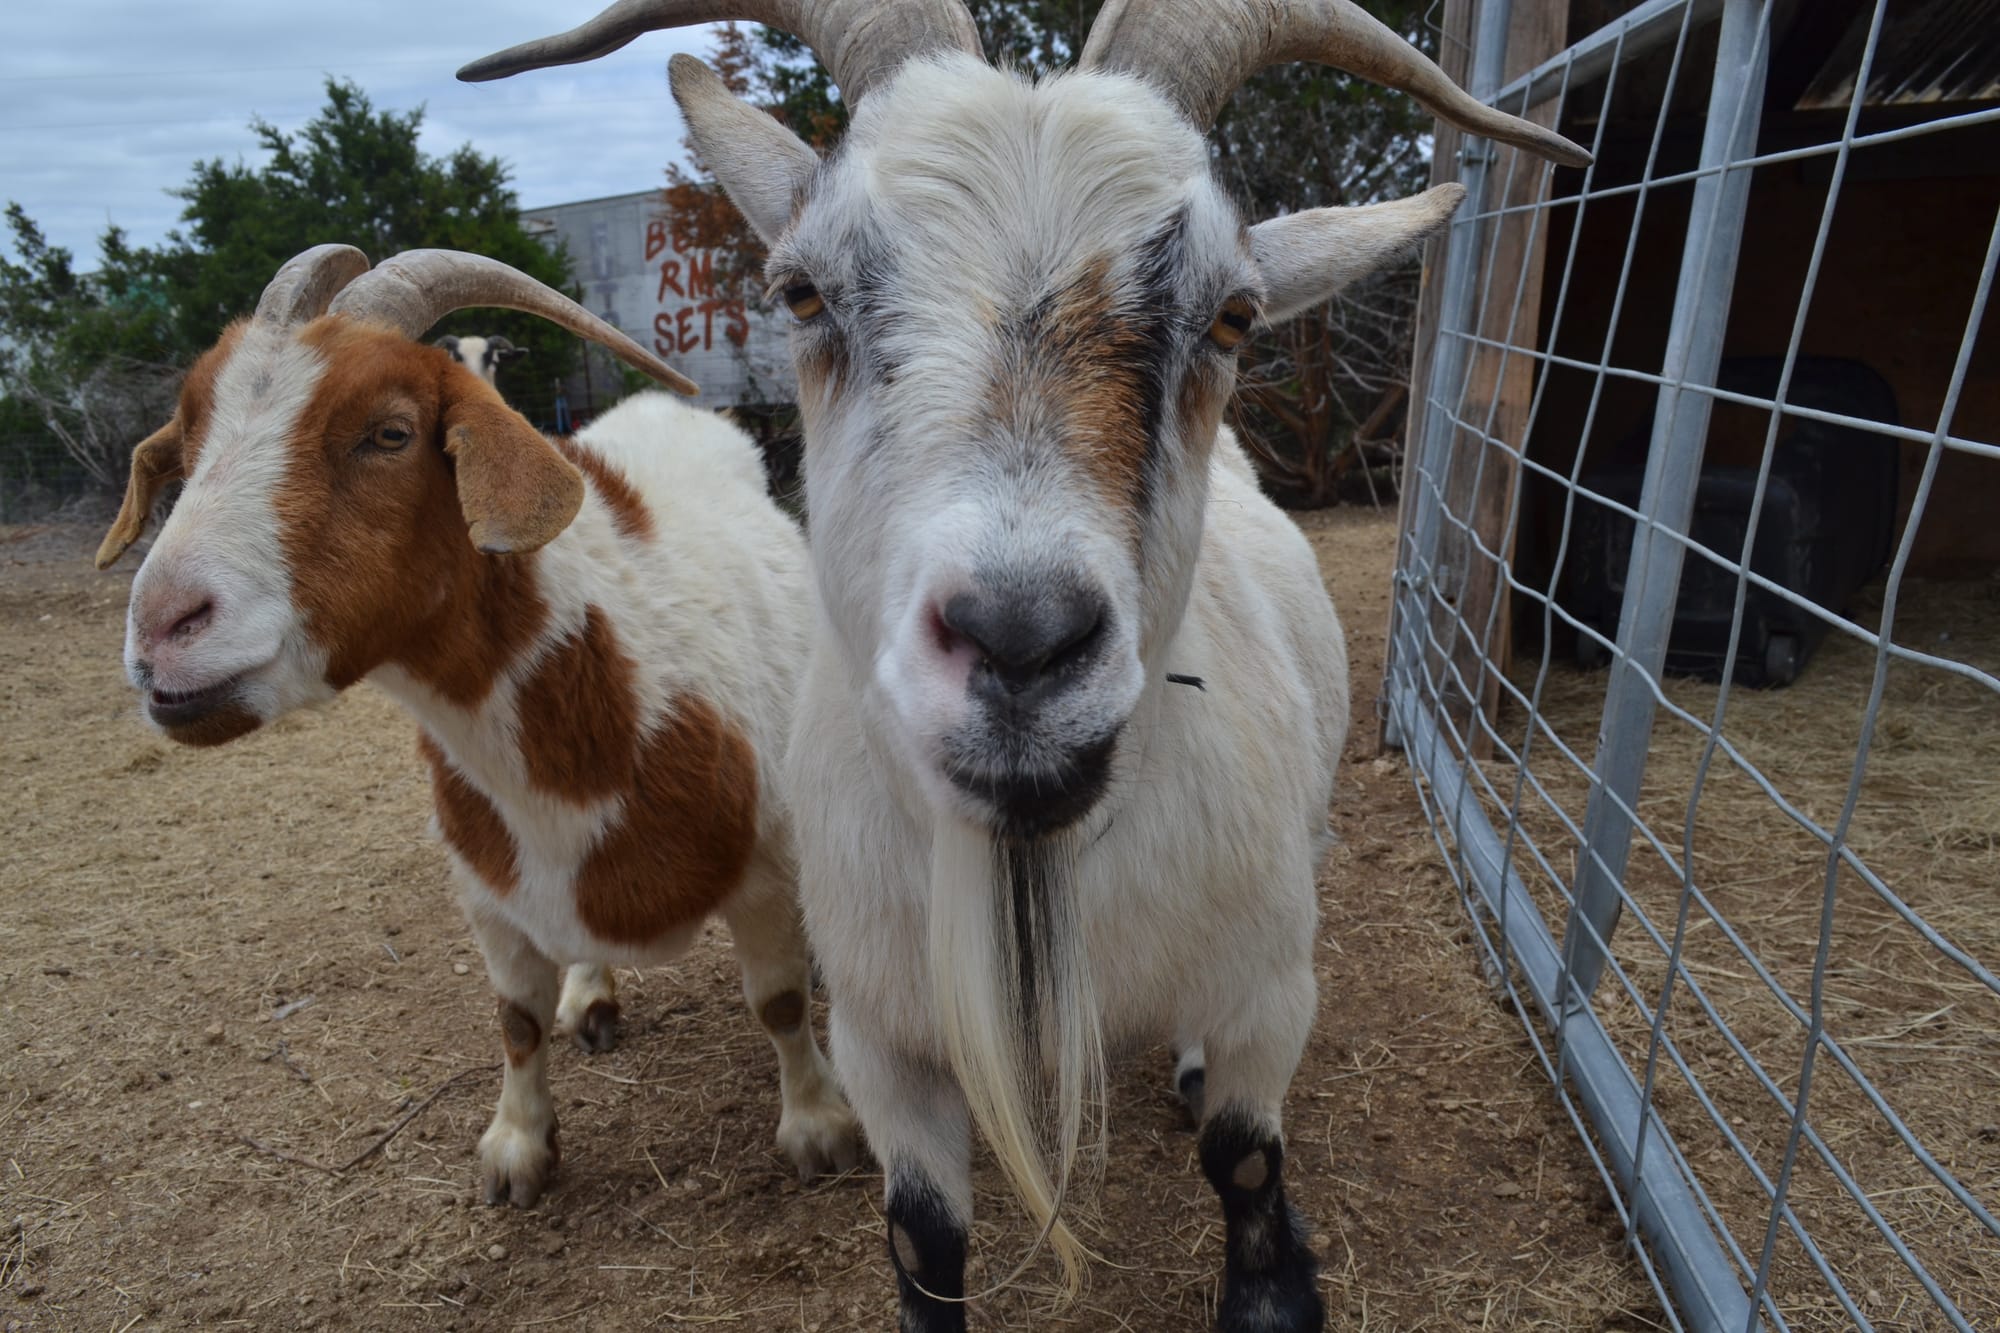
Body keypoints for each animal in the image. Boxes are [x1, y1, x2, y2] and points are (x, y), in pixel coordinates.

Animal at [98, 245, 861, 1207]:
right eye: (189, 433)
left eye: (389, 433)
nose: (163, 626)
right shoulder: (489, 888)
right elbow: (516, 1020)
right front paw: (518, 1147)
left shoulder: (763, 866)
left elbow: (781, 1003)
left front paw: (820, 1126)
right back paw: (591, 995)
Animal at [465, 3, 1587, 1326]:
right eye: (799, 290)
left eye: (1232, 315)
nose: (1020, 639)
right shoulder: (883, 1041)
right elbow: (921, 1237)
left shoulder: (1269, 986)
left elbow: (1244, 1155)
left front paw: (1269, 1280)